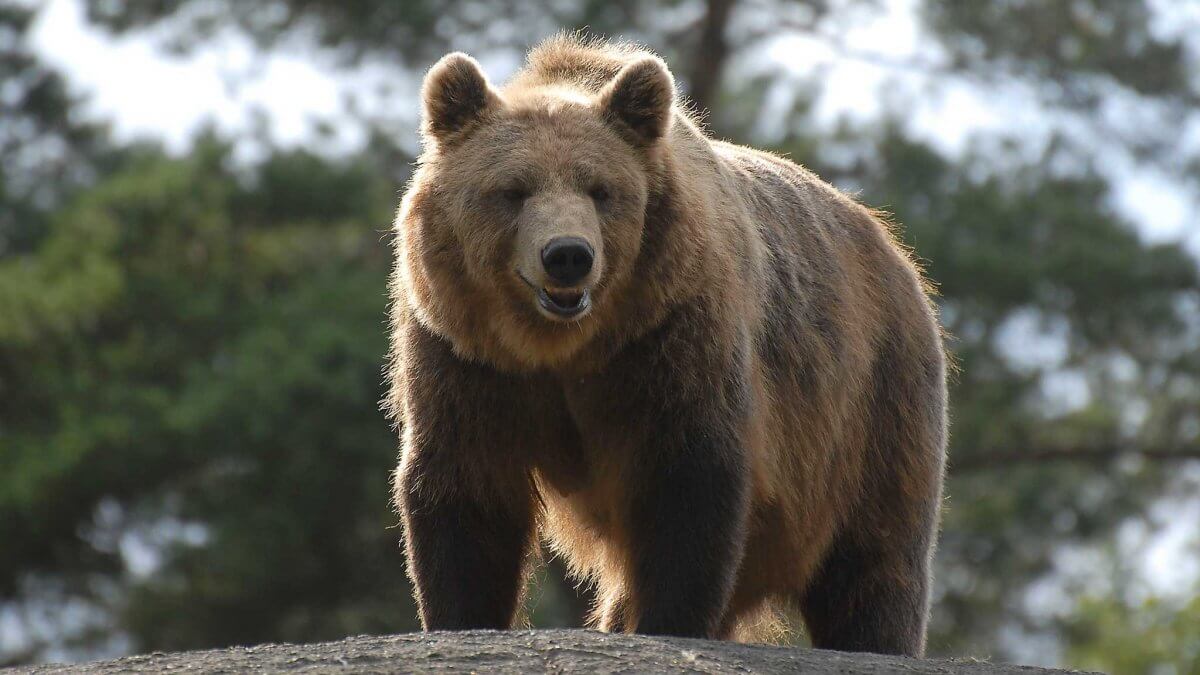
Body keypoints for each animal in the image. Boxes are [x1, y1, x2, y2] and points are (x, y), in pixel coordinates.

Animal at [384, 34, 945, 653]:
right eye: (512, 190)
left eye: (600, 190)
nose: (567, 255)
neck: (564, 346)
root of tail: (892, 246)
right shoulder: (465, 354)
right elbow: (467, 487)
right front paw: (460, 616)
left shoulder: (671, 334)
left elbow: (687, 478)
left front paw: (668, 621)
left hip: (867, 405)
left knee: (872, 559)